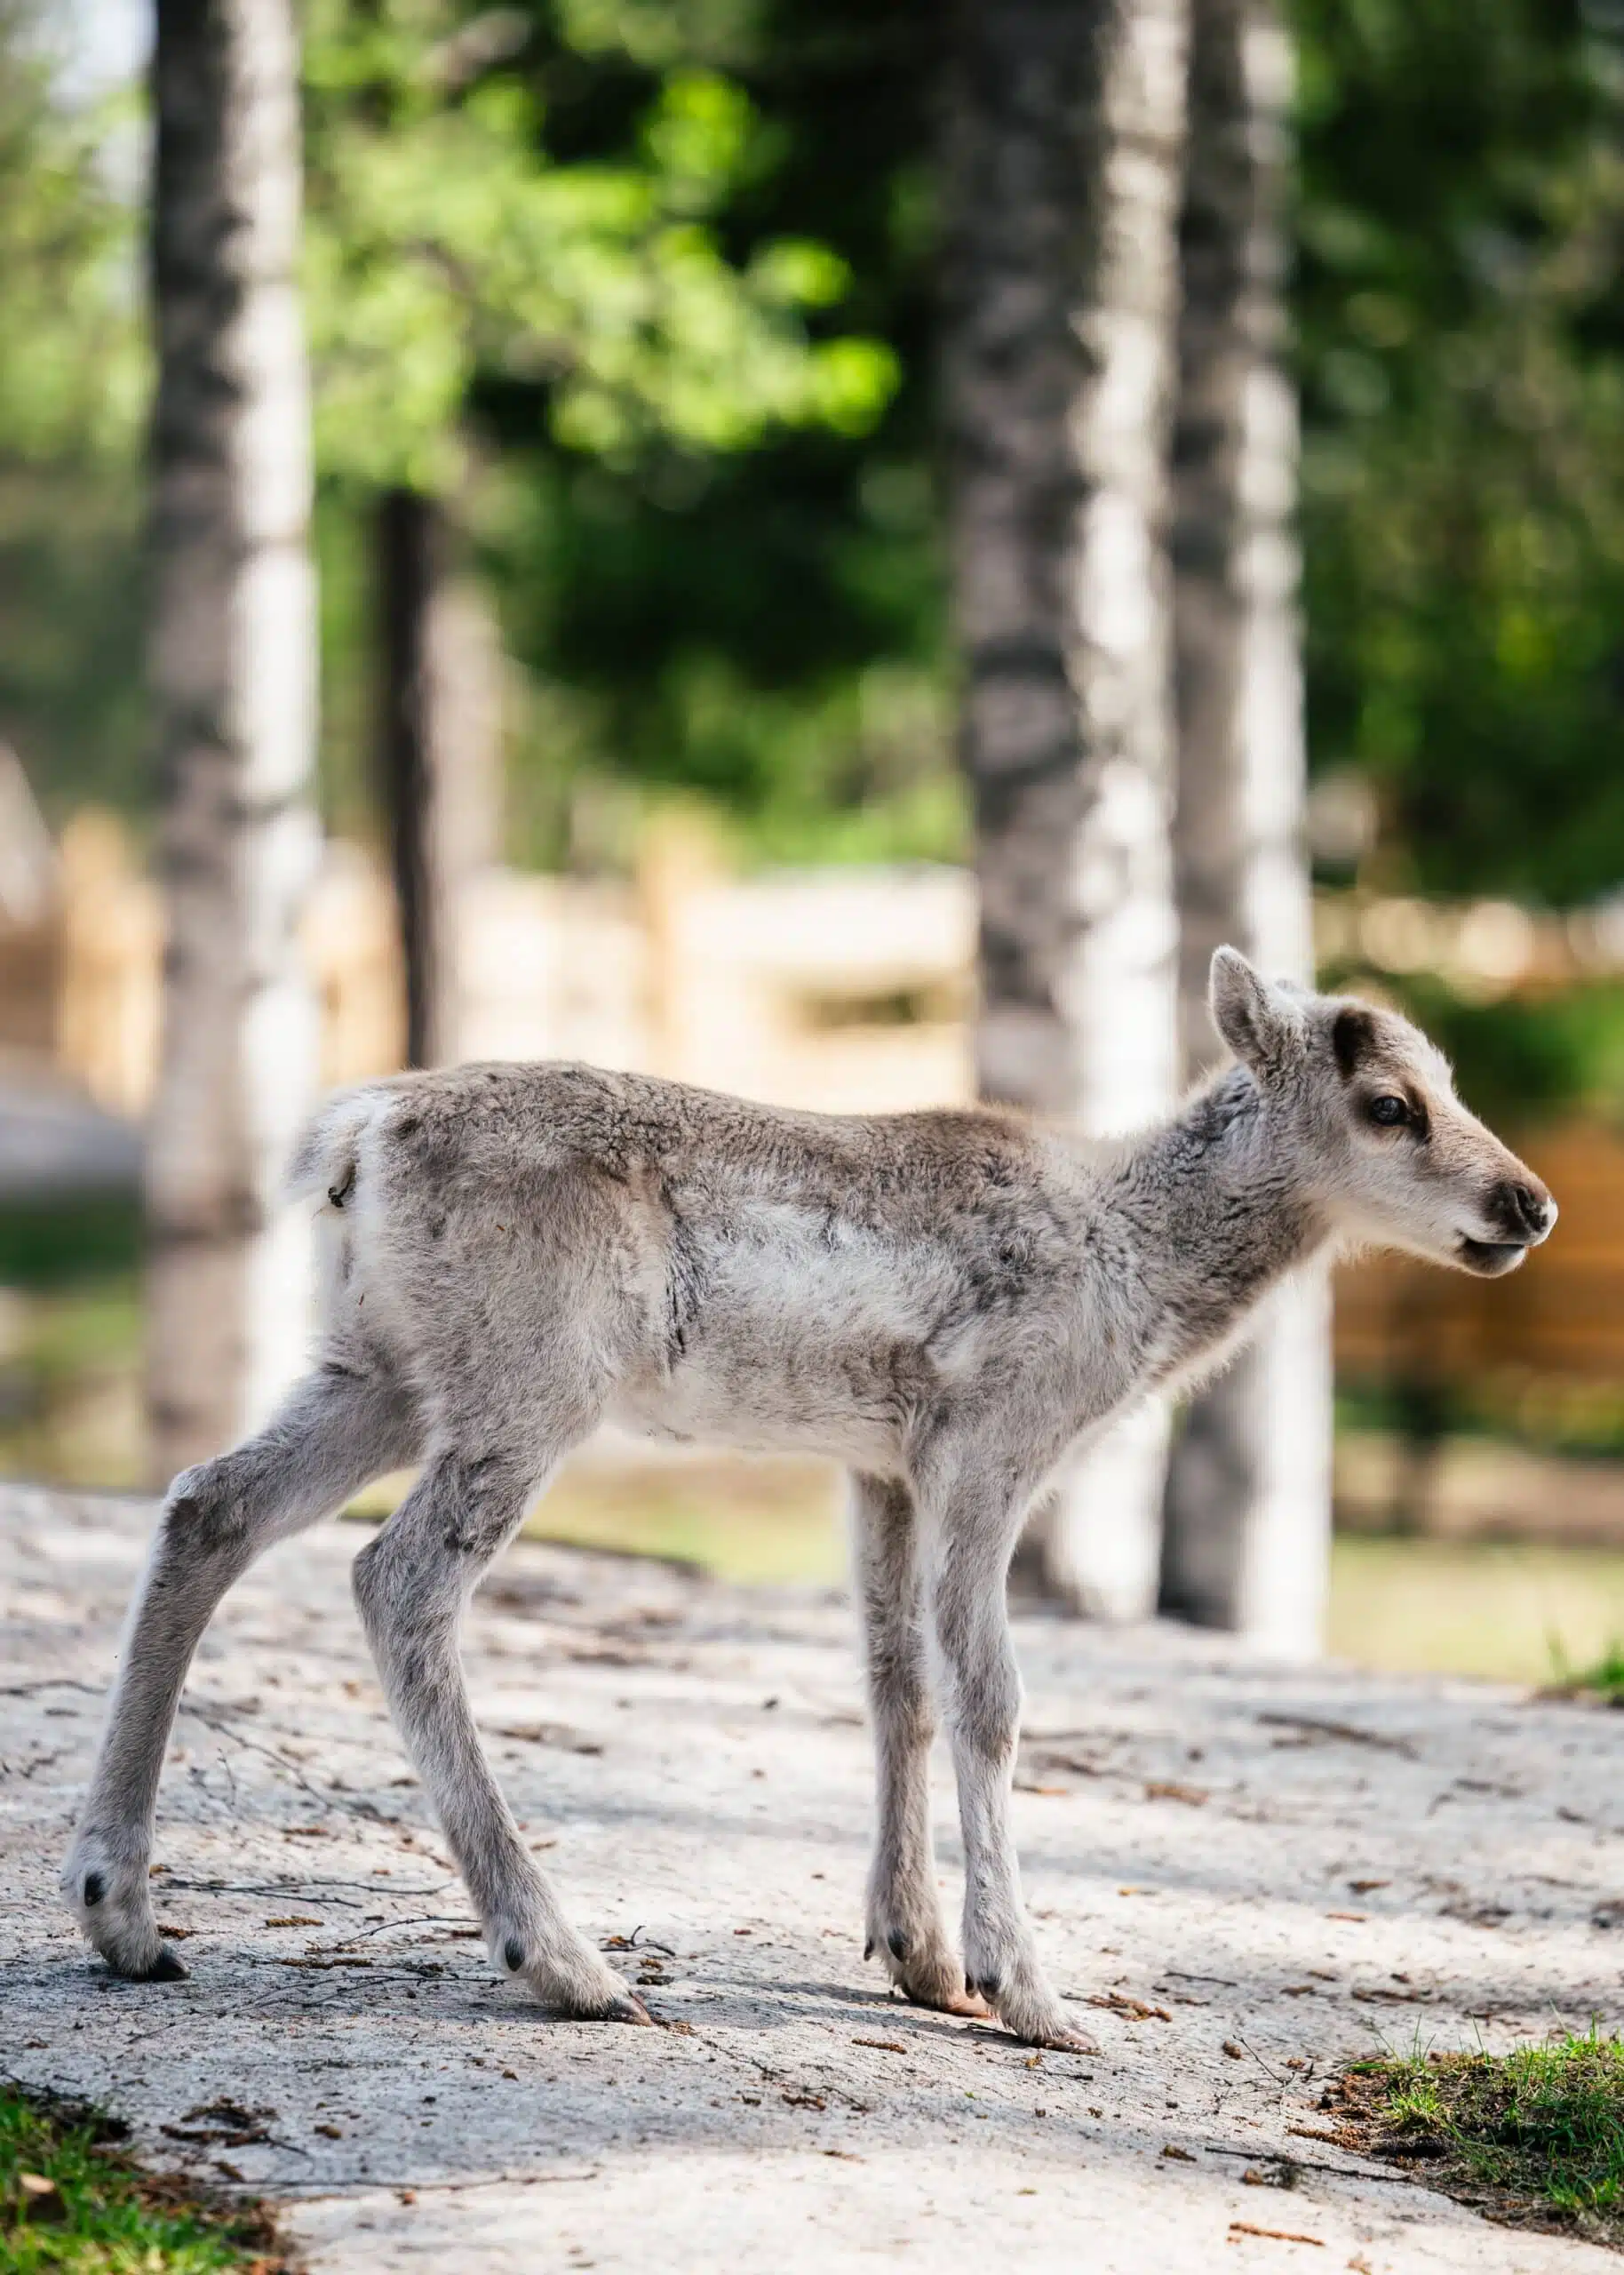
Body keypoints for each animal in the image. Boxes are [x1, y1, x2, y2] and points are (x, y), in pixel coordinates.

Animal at [64, 949, 1555, 2049]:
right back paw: (567, 1960)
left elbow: (894, 1682)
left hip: (377, 1366)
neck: (1132, 1274)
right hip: (527, 1379)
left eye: (1452, 1078)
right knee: (398, 1577)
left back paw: (123, 1917)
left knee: (207, 1507)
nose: (1528, 1204)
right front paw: (1032, 1993)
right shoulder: (991, 1444)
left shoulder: (879, 1463)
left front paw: (920, 1957)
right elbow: (992, 1697)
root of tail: (354, 1137)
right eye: (1390, 1105)